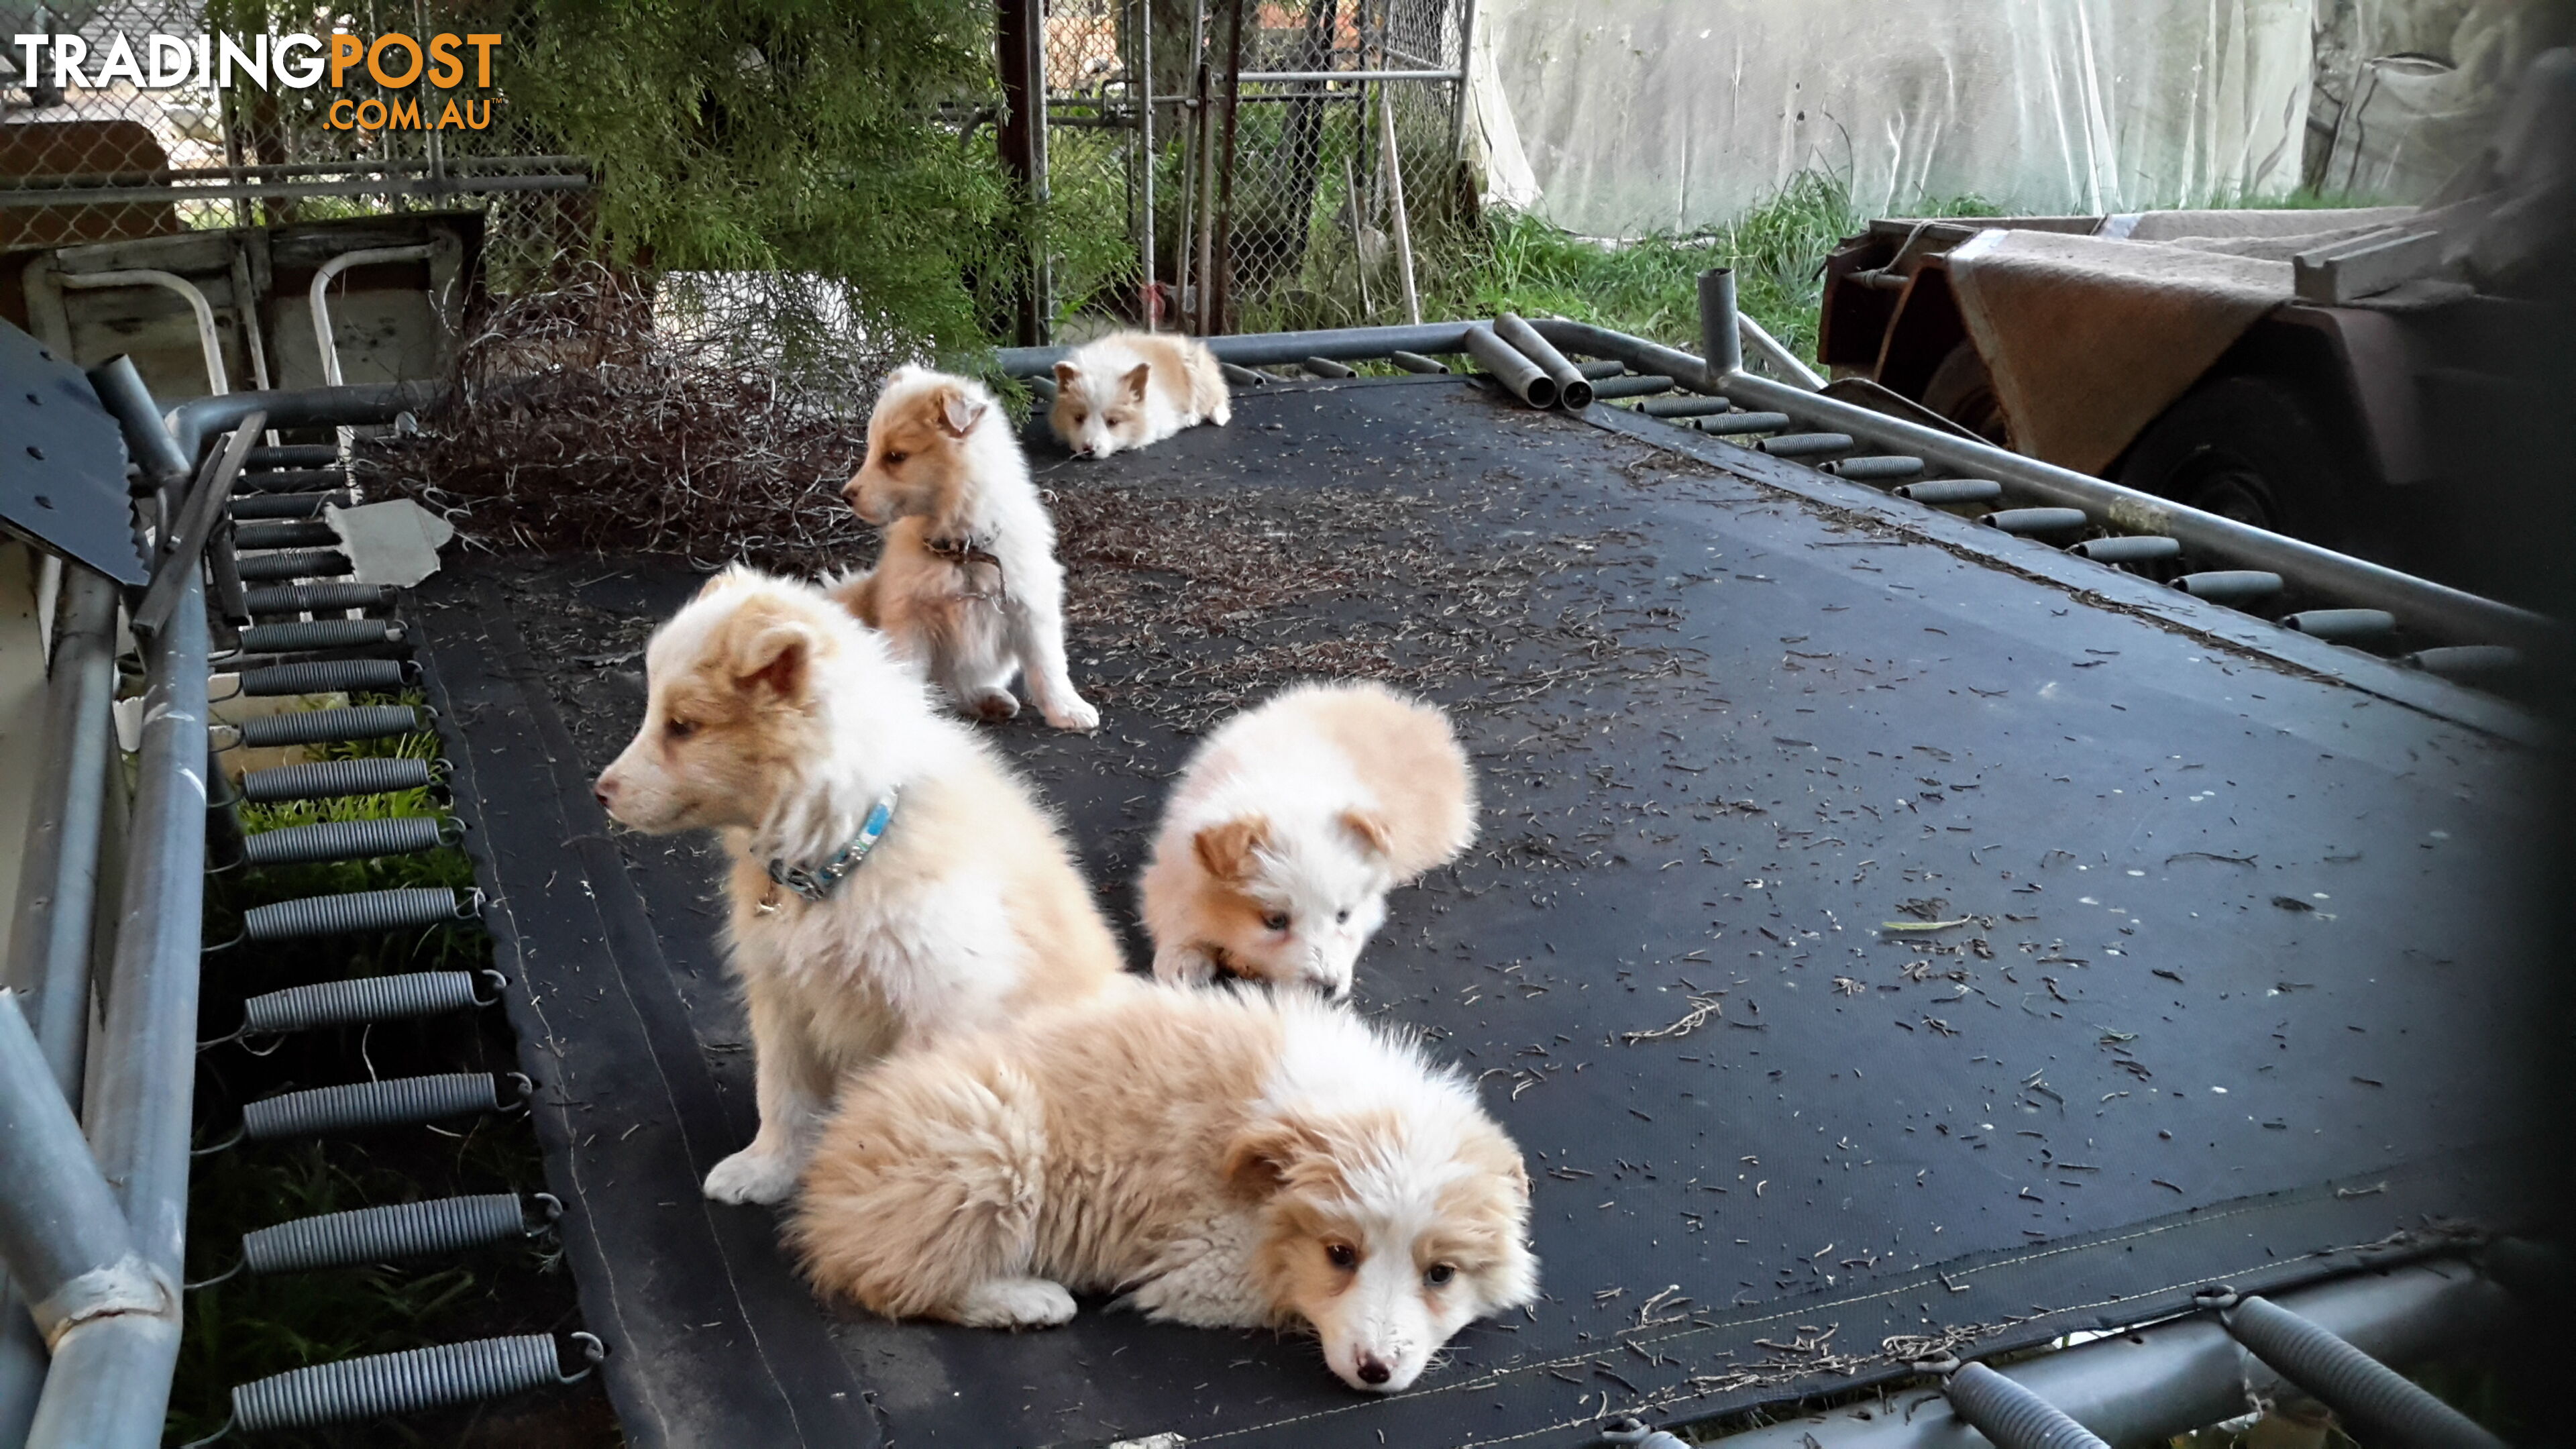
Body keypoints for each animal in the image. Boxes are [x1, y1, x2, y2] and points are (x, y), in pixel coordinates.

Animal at [602, 570, 1138, 1201]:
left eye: (683, 726)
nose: (600, 792)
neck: (844, 850)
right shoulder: (782, 994)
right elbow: (781, 1093)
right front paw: (767, 1168)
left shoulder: (940, 1006)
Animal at [793, 979, 1535, 1392]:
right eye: (1339, 1255)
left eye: (1441, 1274)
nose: (1375, 1370)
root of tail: (825, 1179)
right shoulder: (1206, 1263)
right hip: (989, 1143)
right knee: (896, 1281)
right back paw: (1028, 1300)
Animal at [835, 356, 1097, 727]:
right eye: (872, 449)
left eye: (896, 456)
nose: (846, 496)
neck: (961, 550)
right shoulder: (909, 619)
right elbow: (908, 674)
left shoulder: (1030, 607)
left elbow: (1047, 664)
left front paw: (1068, 709)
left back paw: (988, 699)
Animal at [1143, 680, 1483, 1000]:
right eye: (1275, 921)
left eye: (1343, 916)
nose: (1327, 989)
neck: (1281, 791)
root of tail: (1418, 715)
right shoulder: (1171, 864)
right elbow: (1176, 911)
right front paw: (1183, 959)